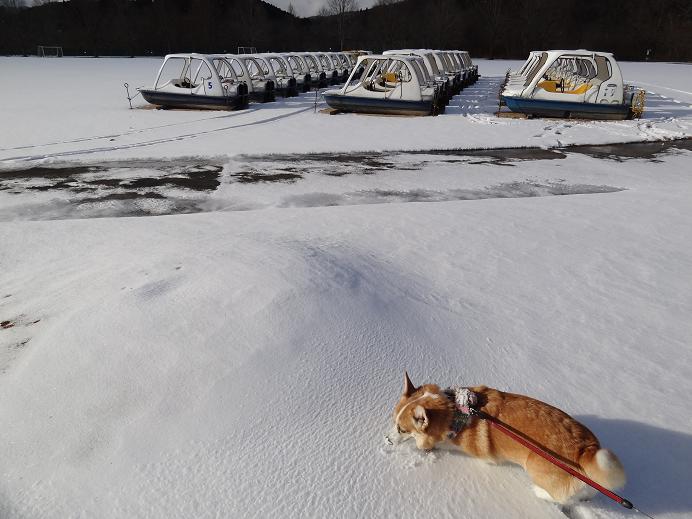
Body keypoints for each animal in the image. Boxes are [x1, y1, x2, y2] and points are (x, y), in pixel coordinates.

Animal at [394, 372, 628, 506]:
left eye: (402, 430)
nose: (387, 441)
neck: (456, 411)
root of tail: (585, 451)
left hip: (535, 467)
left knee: (558, 496)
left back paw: (539, 492)